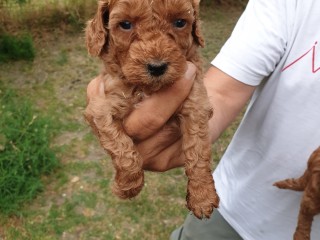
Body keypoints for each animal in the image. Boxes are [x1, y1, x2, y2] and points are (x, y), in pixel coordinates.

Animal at [84, 0, 220, 219]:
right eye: (125, 24)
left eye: (180, 22)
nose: (157, 67)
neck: (147, 89)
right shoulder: (101, 106)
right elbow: (122, 148)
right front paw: (126, 186)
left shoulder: (196, 103)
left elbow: (198, 151)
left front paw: (202, 196)